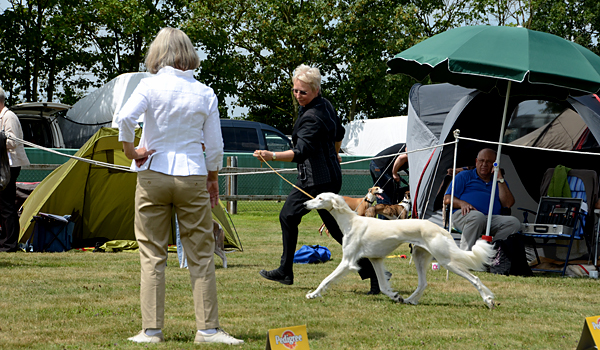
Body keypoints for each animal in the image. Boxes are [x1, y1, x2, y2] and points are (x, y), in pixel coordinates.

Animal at [304, 191, 496, 308]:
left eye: (320, 198)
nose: (305, 204)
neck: (351, 222)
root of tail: (440, 228)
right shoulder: (376, 259)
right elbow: (383, 286)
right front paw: (396, 296)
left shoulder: (347, 262)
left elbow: (326, 280)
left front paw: (313, 294)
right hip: (419, 256)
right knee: (423, 283)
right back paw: (410, 300)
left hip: (446, 260)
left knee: (475, 278)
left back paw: (488, 300)